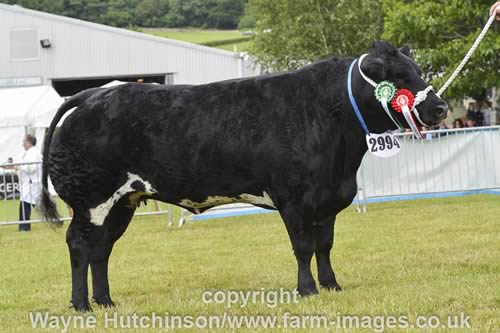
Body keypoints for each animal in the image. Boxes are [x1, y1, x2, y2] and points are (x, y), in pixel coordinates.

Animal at [41, 41, 448, 312]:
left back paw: (106, 301)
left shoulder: (327, 198)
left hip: (122, 202)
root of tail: (92, 95)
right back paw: (81, 305)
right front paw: (307, 290)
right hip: (91, 200)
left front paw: (332, 285)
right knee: (78, 245)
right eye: (398, 76)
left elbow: (324, 245)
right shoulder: (294, 199)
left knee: (101, 249)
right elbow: (303, 247)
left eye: (418, 71)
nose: (440, 107)